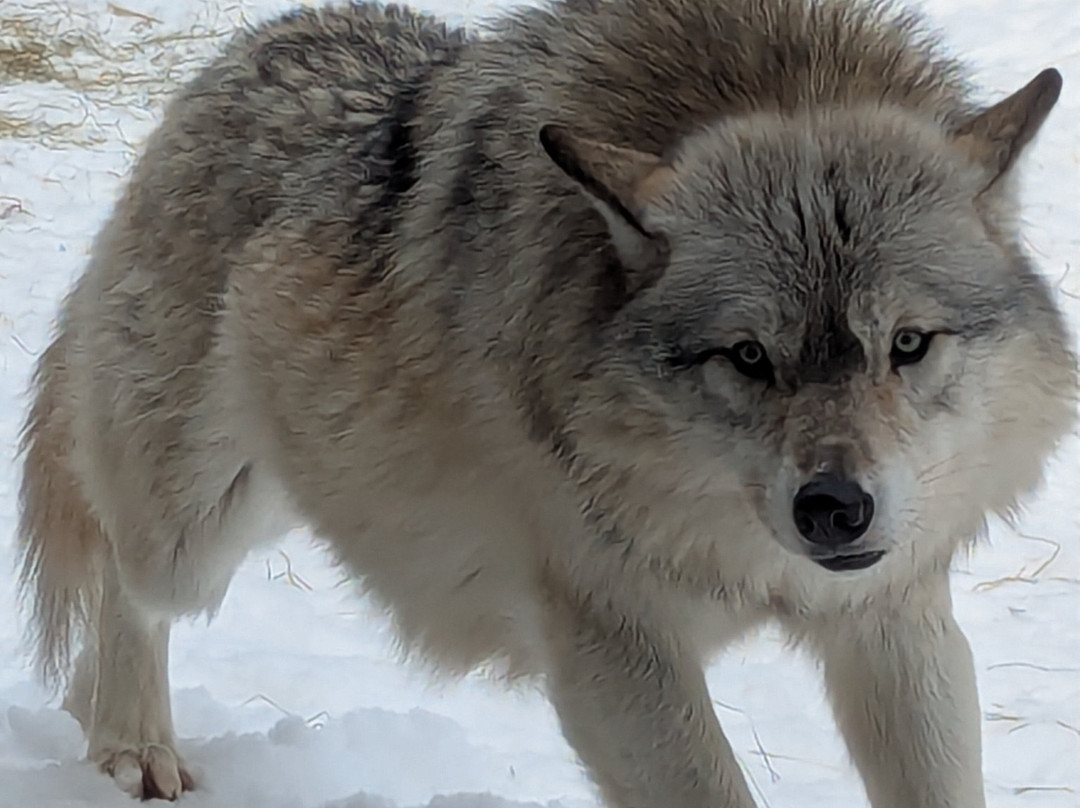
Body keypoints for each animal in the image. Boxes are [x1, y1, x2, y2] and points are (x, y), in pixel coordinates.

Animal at [15, 0, 1075, 804]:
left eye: (908, 345)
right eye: (748, 357)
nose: (835, 508)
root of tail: (251, 47)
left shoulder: (895, 616)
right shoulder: (614, 646)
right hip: (197, 534)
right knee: (120, 571)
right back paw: (130, 746)